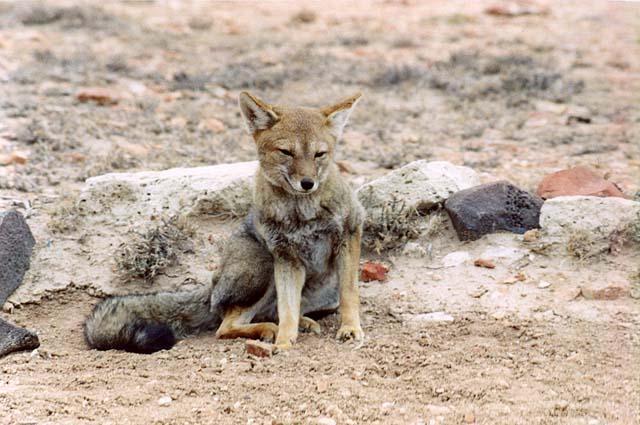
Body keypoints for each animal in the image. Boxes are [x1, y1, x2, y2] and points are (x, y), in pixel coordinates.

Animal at [84, 91, 365, 354]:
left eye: (319, 154)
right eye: (286, 152)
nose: (308, 183)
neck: (304, 212)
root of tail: (212, 286)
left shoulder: (348, 235)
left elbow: (349, 294)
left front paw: (350, 329)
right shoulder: (285, 256)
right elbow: (287, 310)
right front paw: (284, 342)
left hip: (322, 293)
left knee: (272, 312)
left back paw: (302, 323)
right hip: (263, 265)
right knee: (227, 326)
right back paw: (270, 330)